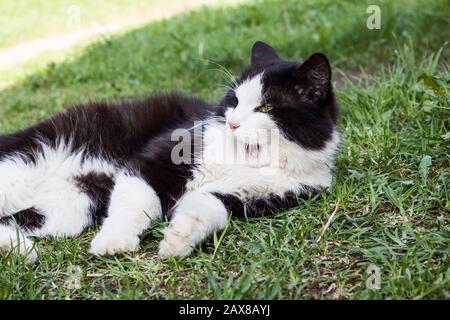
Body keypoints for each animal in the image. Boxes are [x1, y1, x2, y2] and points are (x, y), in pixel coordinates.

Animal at [0, 41, 340, 264]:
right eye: (234, 101)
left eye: (266, 107)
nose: (232, 122)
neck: (246, 159)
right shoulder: (157, 157)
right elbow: (138, 201)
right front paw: (115, 241)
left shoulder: (259, 196)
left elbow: (210, 206)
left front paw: (180, 238)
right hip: (29, 159)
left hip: (71, 205)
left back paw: (17, 251)